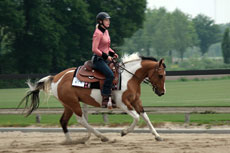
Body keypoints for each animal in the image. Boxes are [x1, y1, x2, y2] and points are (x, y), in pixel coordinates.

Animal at [20, 53, 165, 143]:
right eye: (160, 75)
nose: (162, 92)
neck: (128, 77)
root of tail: (56, 77)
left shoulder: (136, 101)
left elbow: (145, 117)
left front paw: (158, 136)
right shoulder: (123, 103)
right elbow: (136, 117)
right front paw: (124, 132)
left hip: (68, 105)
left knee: (63, 121)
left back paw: (70, 141)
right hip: (73, 104)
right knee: (81, 120)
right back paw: (102, 136)